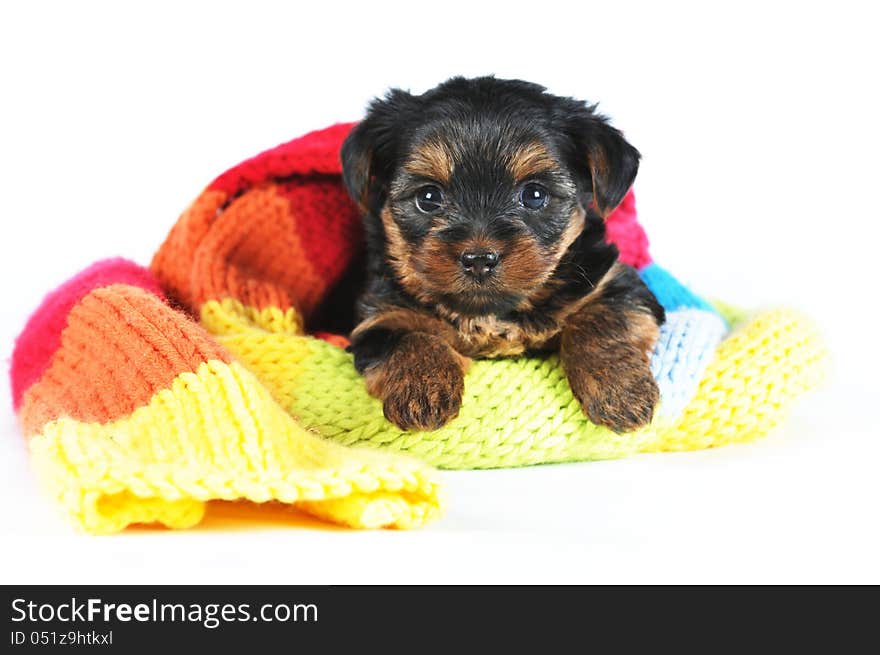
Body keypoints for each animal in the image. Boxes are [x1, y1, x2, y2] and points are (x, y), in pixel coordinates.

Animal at [340, 77, 664, 434]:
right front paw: (422, 389)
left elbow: (601, 319)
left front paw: (620, 391)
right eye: (428, 197)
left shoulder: (613, 281)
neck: (491, 313)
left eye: (534, 195)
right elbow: (411, 336)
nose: (479, 259)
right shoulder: (381, 315)